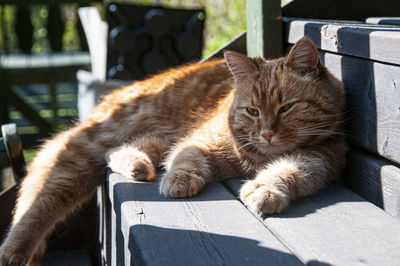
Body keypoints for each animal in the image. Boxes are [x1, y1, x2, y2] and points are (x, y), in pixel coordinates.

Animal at [0, 36, 346, 264]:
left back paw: (137, 165)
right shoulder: (198, 141)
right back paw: (13, 250)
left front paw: (266, 189)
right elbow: (186, 160)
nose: (267, 133)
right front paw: (179, 181)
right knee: (43, 198)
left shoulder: (319, 161)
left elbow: (289, 171)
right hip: (88, 148)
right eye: (252, 111)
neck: (259, 155)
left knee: (120, 153)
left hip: (152, 139)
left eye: (287, 107)